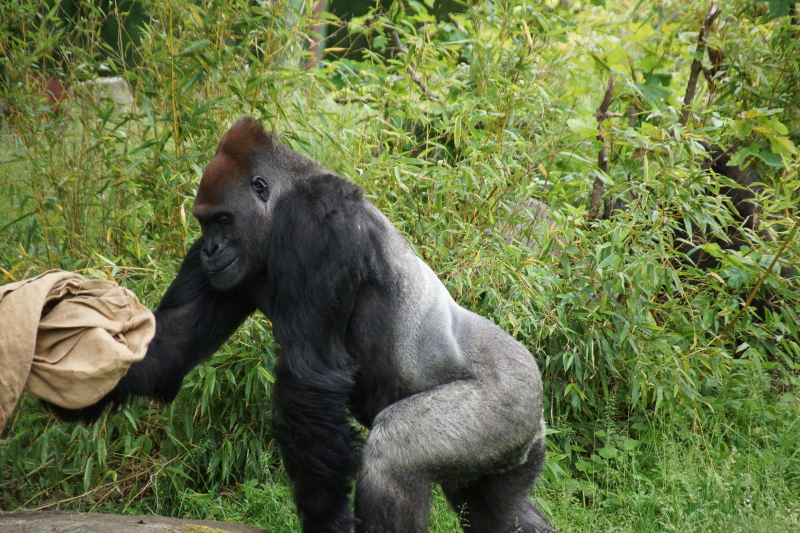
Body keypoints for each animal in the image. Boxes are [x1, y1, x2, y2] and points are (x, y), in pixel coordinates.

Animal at [56, 117, 556, 532]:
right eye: (203, 224)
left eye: (223, 219)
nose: (210, 251)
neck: (283, 201)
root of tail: (537, 399)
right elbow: (172, 342)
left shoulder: (315, 226)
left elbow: (311, 378)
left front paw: (325, 520)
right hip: (515, 443)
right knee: (499, 510)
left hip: (507, 401)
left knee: (394, 458)